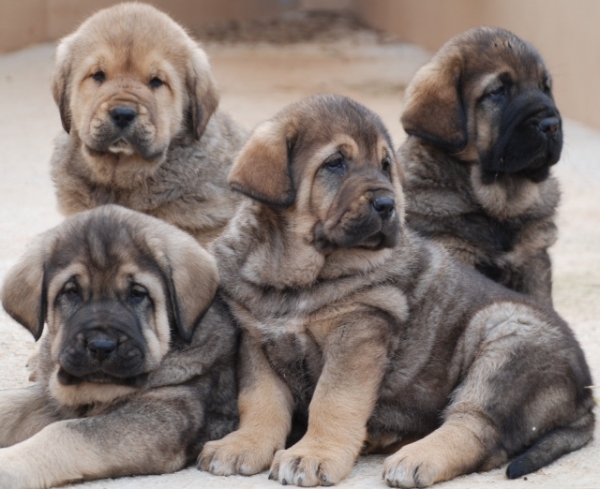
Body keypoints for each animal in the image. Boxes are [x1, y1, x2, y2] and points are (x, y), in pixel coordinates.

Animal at [0, 205, 239, 488]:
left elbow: (63, 433)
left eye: (137, 293)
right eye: (71, 292)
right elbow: (11, 404)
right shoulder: (53, 398)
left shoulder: (156, 418)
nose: (101, 346)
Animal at [198, 93, 596, 486]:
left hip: (506, 339)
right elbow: (261, 400)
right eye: (336, 163)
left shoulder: (358, 333)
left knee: (478, 428)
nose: (387, 204)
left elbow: (333, 400)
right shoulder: (256, 337)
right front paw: (244, 444)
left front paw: (313, 454)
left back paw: (417, 458)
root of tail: (585, 397)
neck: (293, 276)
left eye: (385, 166)